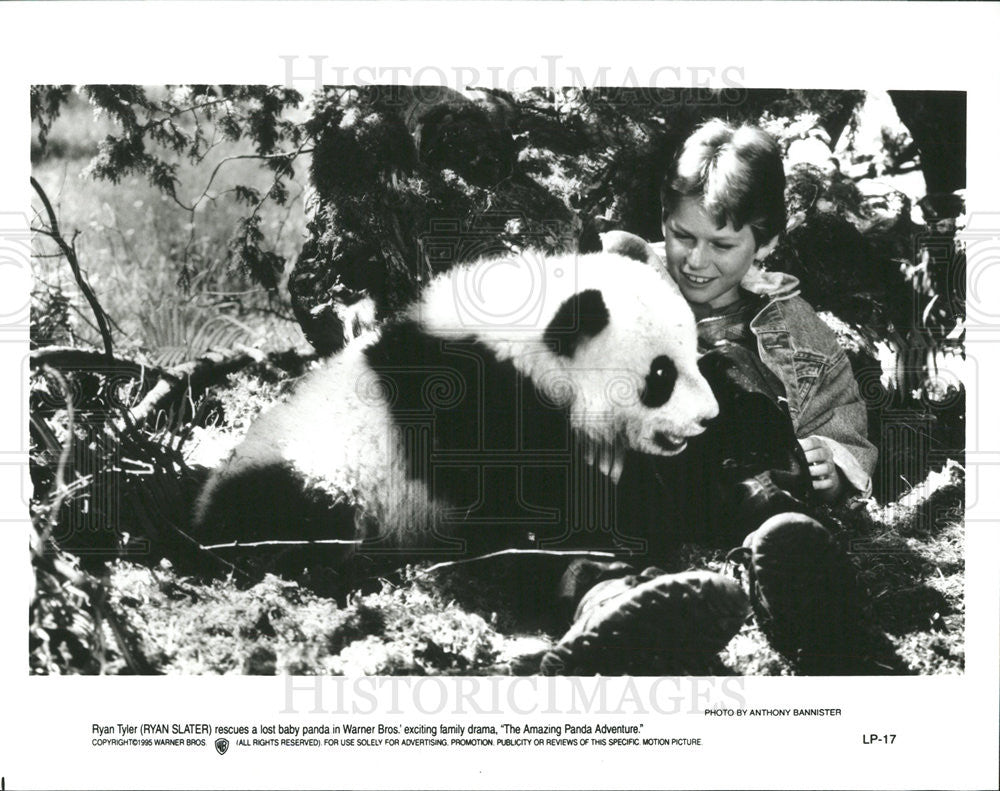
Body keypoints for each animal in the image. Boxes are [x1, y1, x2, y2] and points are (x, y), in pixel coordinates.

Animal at [191, 251, 716, 568]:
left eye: (696, 354)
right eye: (662, 375)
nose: (708, 417)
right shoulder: (470, 403)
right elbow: (531, 491)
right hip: (314, 471)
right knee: (287, 515)